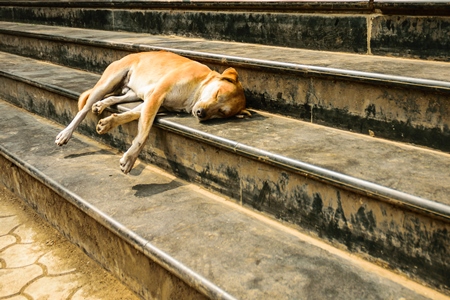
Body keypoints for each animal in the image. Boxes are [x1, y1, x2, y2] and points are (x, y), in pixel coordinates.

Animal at [55, 51, 251, 173]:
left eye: (221, 112)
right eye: (217, 94)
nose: (201, 113)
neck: (195, 90)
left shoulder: (156, 101)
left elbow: (132, 115)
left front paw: (109, 122)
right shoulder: (157, 95)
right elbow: (144, 133)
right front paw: (130, 159)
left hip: (132, 93)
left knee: (113, 99)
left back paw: (102, 104)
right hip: (108, 82)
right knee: (84, 109)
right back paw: (66, 133)